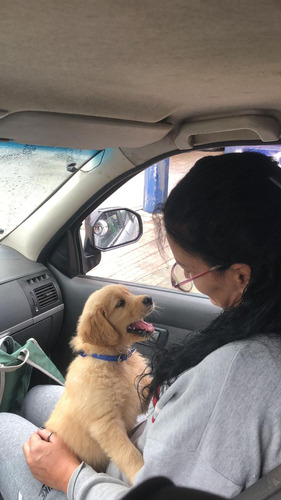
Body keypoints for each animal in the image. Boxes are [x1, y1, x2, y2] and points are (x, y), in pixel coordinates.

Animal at [44, 286, 153, 484]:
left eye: (129, 292)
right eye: (120, 303)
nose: (149, 298)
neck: (116, 359)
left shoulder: (139, 394)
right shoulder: (105, 423)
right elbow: (128, 452)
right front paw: (139, 472)